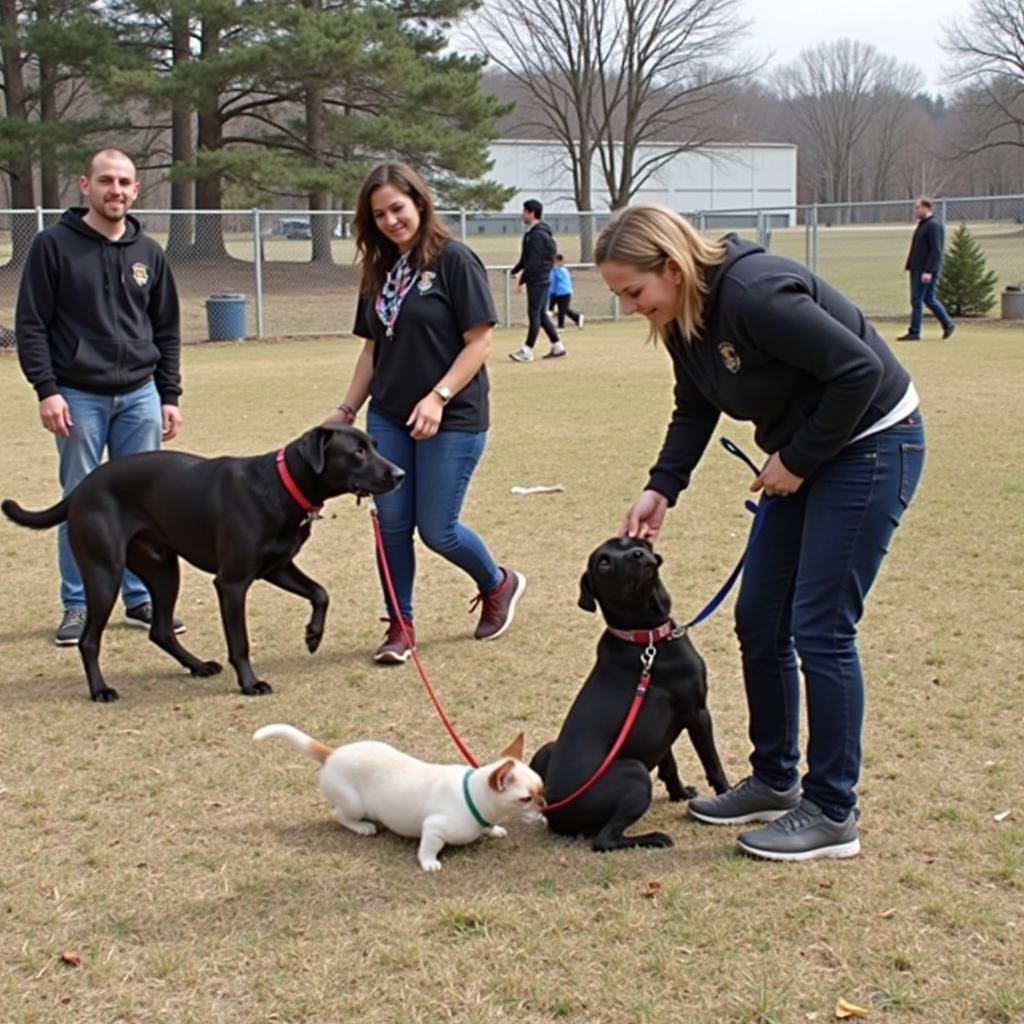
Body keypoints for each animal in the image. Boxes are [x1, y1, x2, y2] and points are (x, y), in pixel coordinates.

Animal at [4, 423, 403, 704]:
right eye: (357, 451)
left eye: (375, 445)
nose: (400, 474)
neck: (281, 485)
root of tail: (80, 489)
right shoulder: (232, 582)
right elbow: (240, 642)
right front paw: (250, 683)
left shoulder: (276, 568)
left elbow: (321, 593)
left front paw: (313, 636)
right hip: (104, 573)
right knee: (89, 641)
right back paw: (101, 690)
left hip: (163, 569)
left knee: (160, 630)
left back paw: (196, 666)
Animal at [252, 720, 548, 872]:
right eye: (526, 798)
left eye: (541, 789)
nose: (544, 805)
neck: (473, 796)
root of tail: (332, 753)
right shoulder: (434, 828)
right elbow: (428, 847)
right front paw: (429, 863)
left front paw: (494, 830)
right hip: (353, 803)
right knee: (338, 814)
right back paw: (364, 827)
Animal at [532, 540, 733, 851]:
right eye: (603, 562)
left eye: (632, 543)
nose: (638, 555)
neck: (646, 639)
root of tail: (555, 814)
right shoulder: (697, 712)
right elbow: (712, 764)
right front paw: (727, 793)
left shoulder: (660, 729)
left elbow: (669, 764)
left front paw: (679, 793)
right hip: (635, 773)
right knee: (604, 839)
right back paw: (656, 838)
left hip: (546, 750)